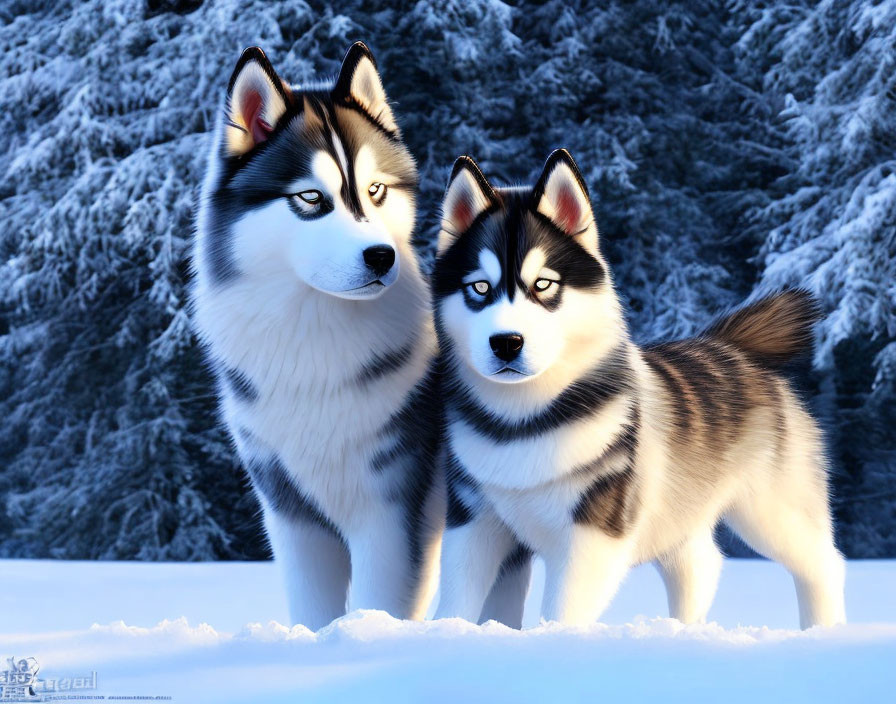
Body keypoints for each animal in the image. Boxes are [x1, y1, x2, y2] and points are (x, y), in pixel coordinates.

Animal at [191, 42, 442, 628]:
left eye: (376, 190)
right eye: (310, 199)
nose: (382, 257)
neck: (313, 341)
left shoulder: (391, 511)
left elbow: (381, 604)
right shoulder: (290, 513)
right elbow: (312, 612)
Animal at [430, 148, 844, 628]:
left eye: (544, 284)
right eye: (479, 287)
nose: (506, 342)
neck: (522, 421)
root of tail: (733, 346)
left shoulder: (593, 533)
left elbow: (563, 613)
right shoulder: (473, 520)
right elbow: (455, 602)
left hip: (771, 509)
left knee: (823, 564)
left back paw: (823, 629)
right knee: (702, 564)